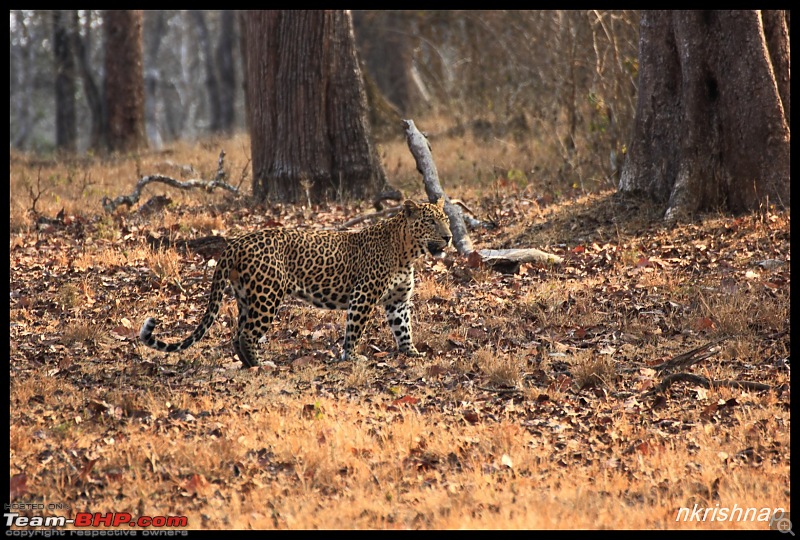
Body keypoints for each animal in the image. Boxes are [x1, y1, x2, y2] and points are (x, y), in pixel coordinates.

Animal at [141, 198, 454, 368]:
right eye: (430, 222)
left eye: (447, 220)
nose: (450, 237)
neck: (407, 252)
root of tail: (235, 243)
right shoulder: (362, 296)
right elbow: (354, 330)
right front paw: (351, 358)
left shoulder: (398, 301)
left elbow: (403, 328)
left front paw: (411, 353)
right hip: (267, 296)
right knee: (247, 334)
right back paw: (262, 365)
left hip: (246, 296)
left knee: (237, 334)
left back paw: (249, 364)